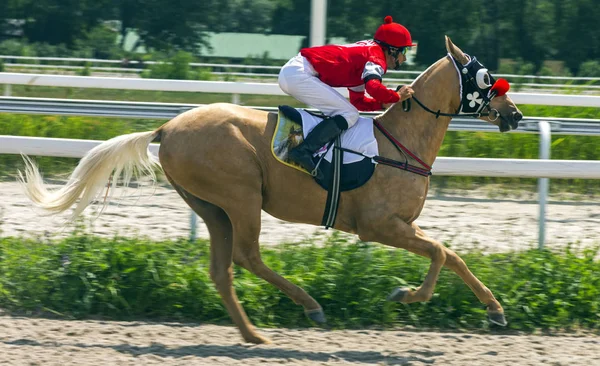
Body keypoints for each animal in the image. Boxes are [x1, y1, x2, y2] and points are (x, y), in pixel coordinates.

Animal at [18, 35, 524, 344]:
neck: (398, 142)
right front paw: (407, 296)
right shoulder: (379, 225)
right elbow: (441, 254)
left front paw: (494, 310)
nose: (515, 115)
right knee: (247, 257)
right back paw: (310, 306)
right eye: (484, 77)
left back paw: (253, 334)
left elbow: (451, 255)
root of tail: (167, 126)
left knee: (222, 268)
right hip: (241, 196)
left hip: (211, 206)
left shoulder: (398, 226)